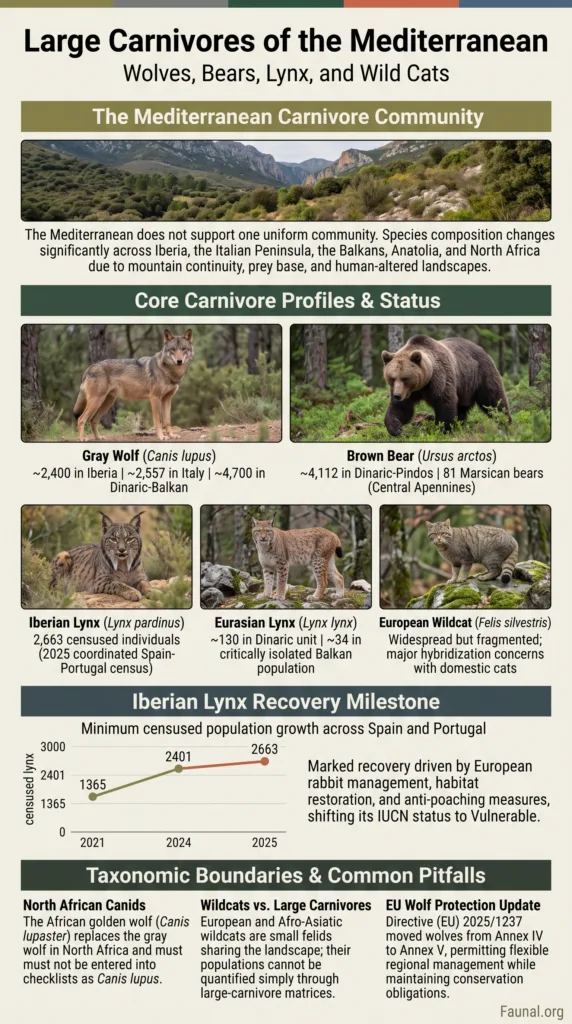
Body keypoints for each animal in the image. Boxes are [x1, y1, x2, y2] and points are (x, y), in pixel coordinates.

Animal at [382, 334, 510, 437]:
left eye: (405, 378)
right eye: (392, 378)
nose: (397, 395)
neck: (423, 384)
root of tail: (482, 349)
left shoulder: (440, 379)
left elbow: (444, 403)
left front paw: (442, 429)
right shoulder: (409, 392)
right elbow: (401, 408)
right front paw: (395, 428)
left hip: (480, 375)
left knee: (494, 400)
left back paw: (506, 423)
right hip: (464, 389)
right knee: (462, 408)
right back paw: (460, 425)